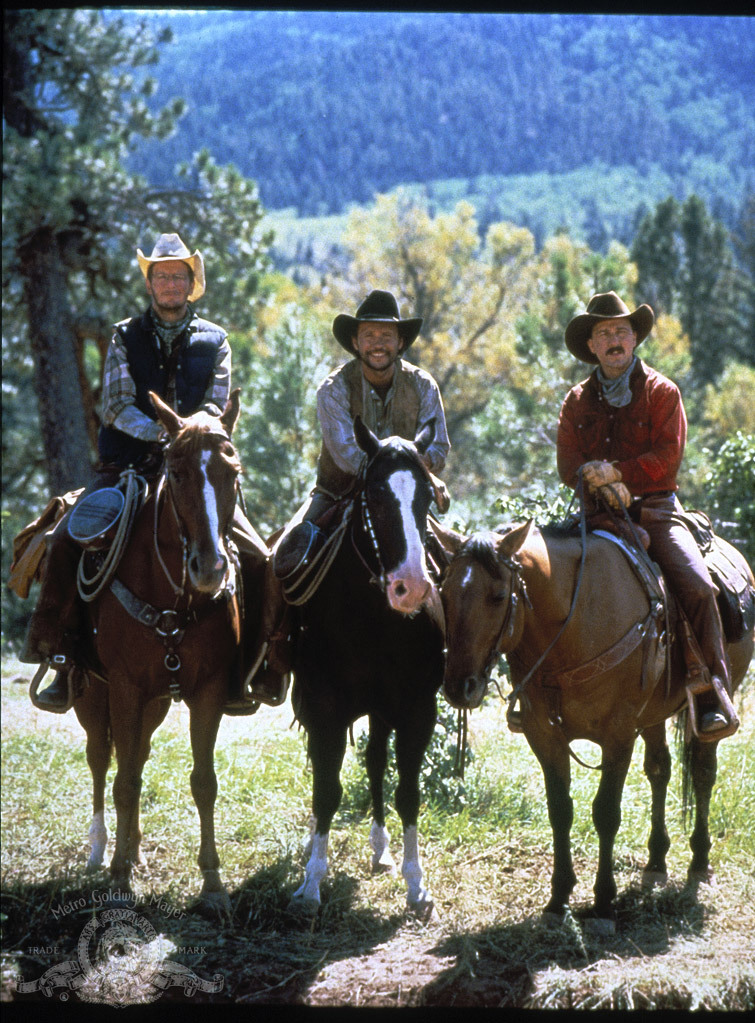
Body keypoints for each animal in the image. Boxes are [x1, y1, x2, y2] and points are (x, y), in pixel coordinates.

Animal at [71, 386, 241, 916]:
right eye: (178, 471)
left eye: (233, 472)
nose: (210, 567)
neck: (172, 598)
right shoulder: (124, 687)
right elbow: (123, 783)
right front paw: (119, 880)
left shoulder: (207, 690)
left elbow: (203, 781)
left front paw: (213, 884)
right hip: (94, 696)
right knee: (103, 759)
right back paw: (102, 852)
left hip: (156, 703)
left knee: (138, 756)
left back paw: (134, 850)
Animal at [286, 415, 441, 920]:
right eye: (374, 496)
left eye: (427, 495)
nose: (411, 588)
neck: (373, 619)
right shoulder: (325, 712)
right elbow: (327, 790)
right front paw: (311, 883)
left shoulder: (417, 711)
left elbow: (408, 793)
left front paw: (417, 885)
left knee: (375, 762)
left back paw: (380, 849)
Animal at [437, 523, 748, 932]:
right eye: (444, 593)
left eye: (498, 595)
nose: (460, 688)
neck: (573, 622)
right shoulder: (544, 736)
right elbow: (560, 810)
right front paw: (558, 900)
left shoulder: (618, 736)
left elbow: (606, 813)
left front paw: (602, 904)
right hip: (653, 716)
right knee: (660, 770)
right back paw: (656, 862)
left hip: (712, 703)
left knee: (702, 772)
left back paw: (699, 861)